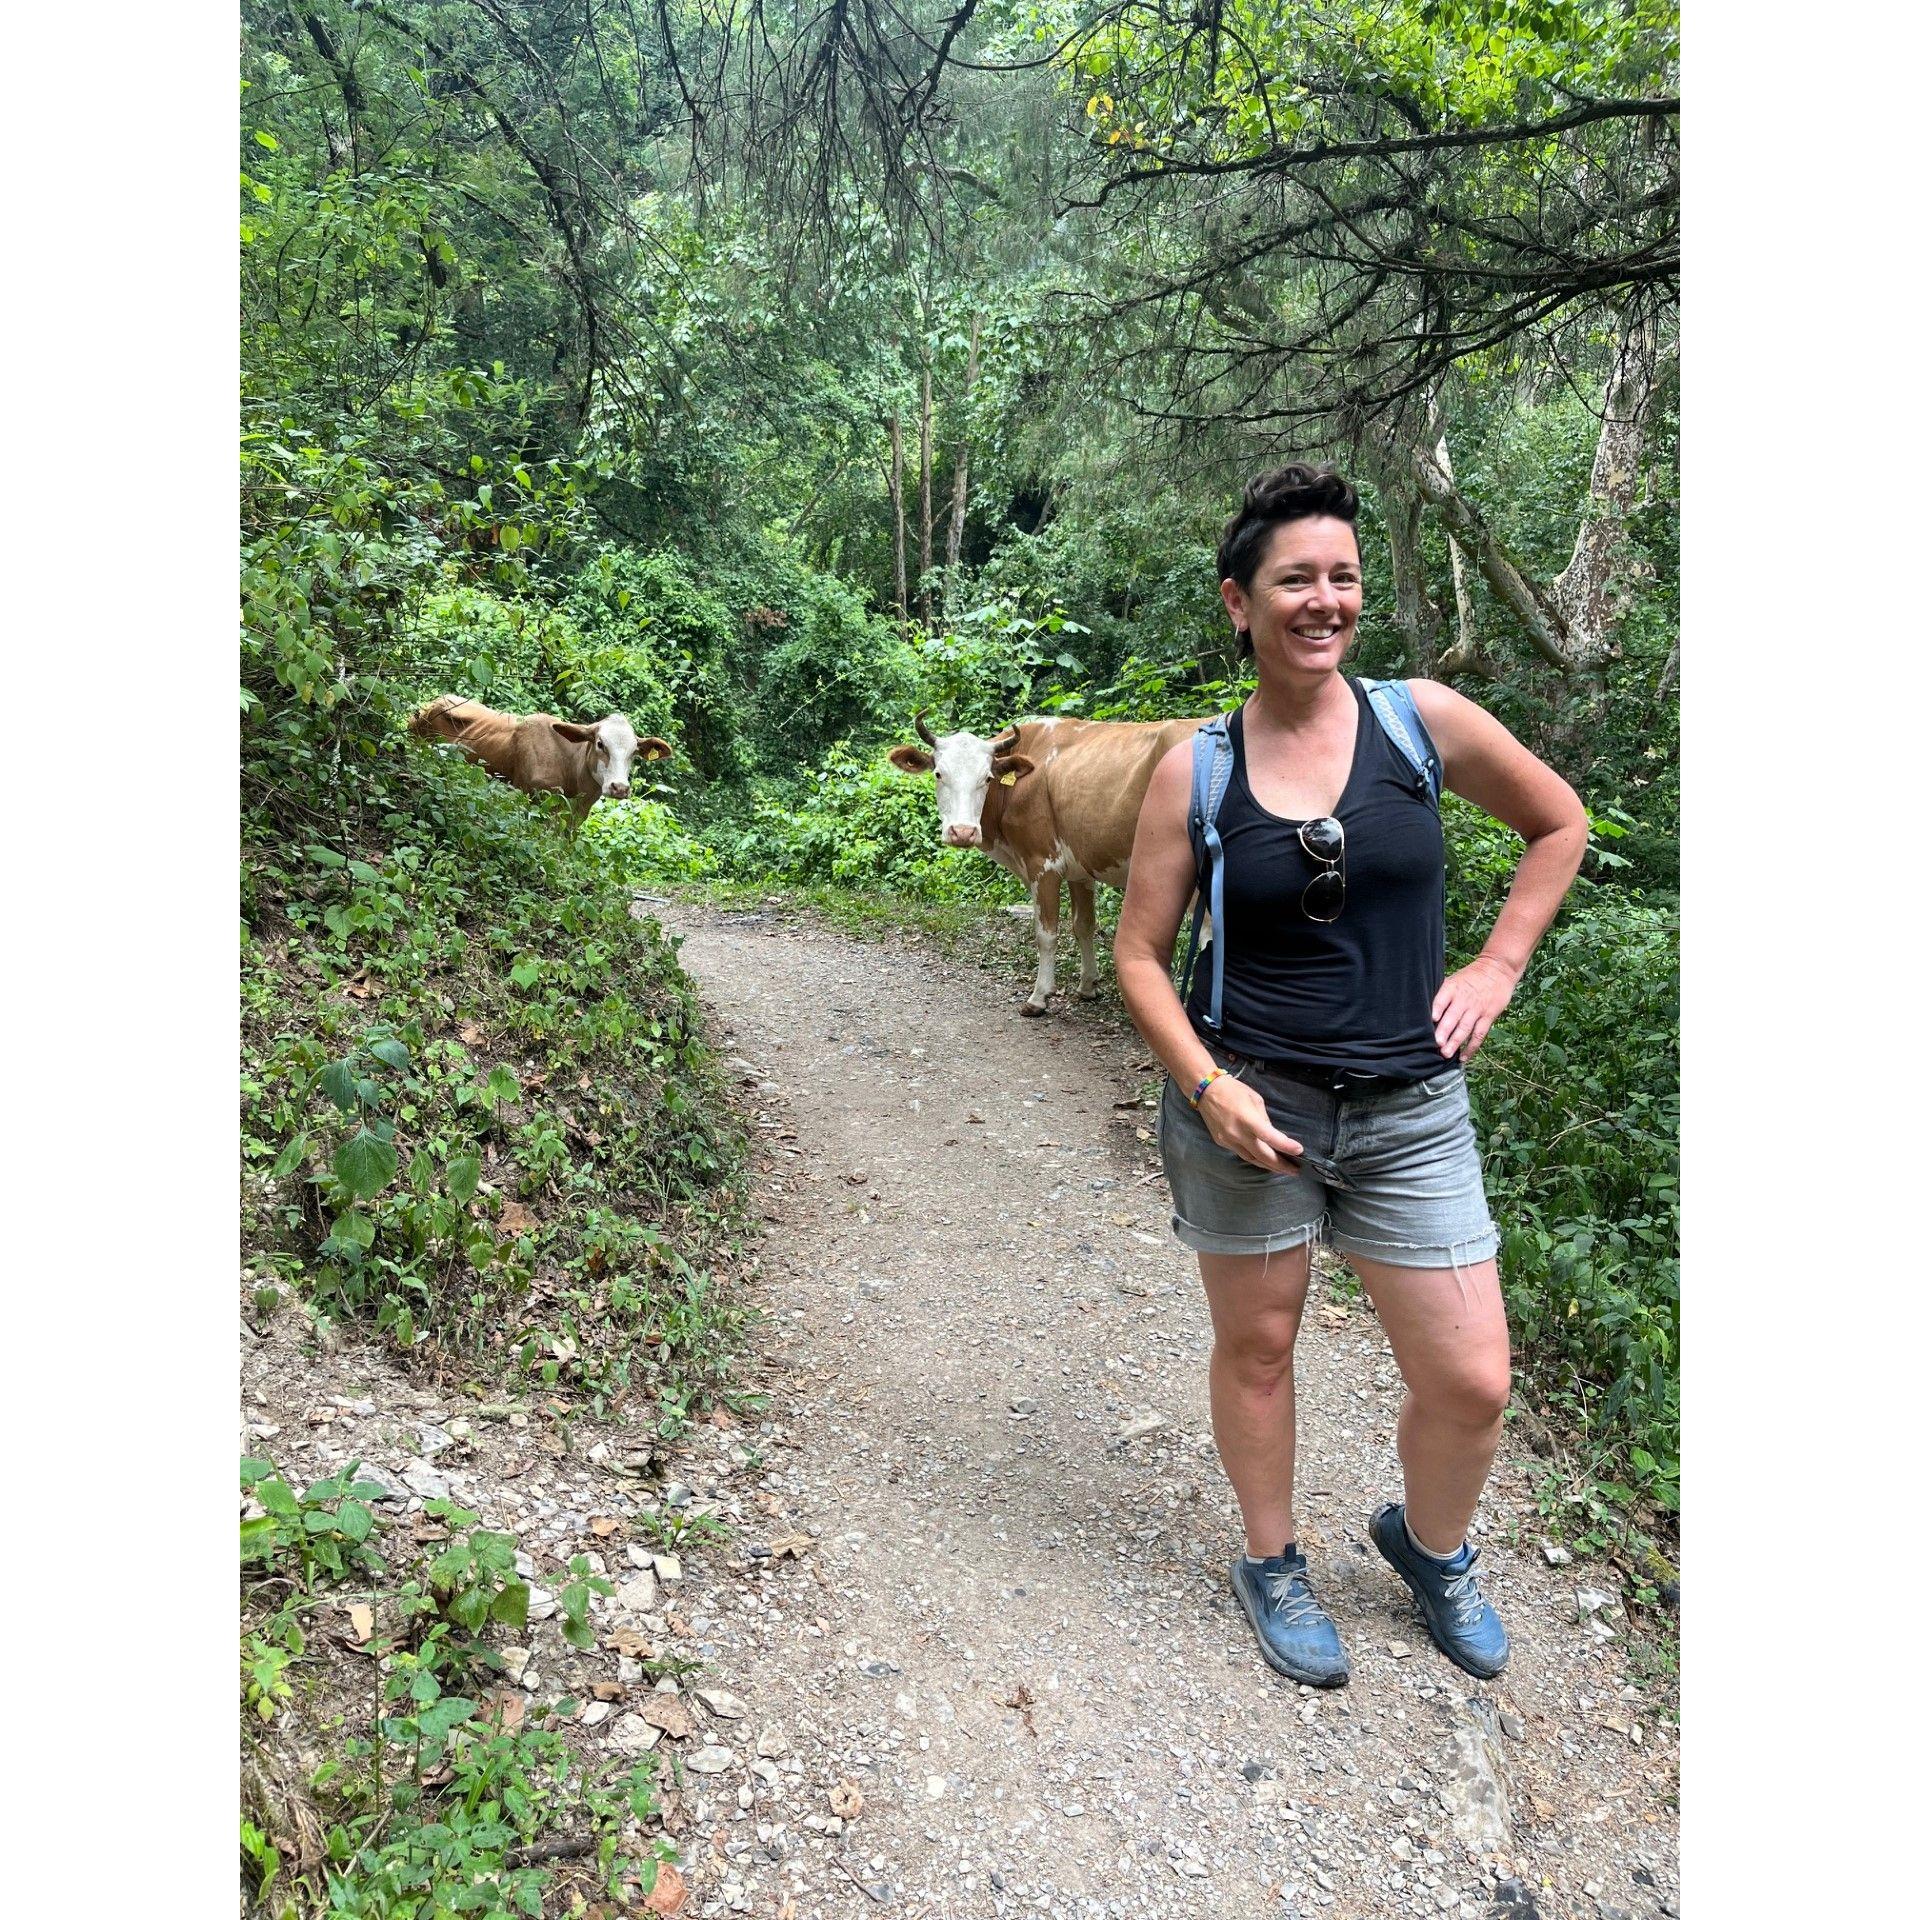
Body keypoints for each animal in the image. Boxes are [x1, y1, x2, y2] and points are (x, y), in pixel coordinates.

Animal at [887, 710, 1198, 1013]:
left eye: (987, 778)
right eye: (939, 773)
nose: (963, 831)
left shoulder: (1042, 863)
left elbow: (1046, 933)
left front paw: (1039, 996)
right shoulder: (1080, 870)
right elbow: (1083, 925)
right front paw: (1088, 986)